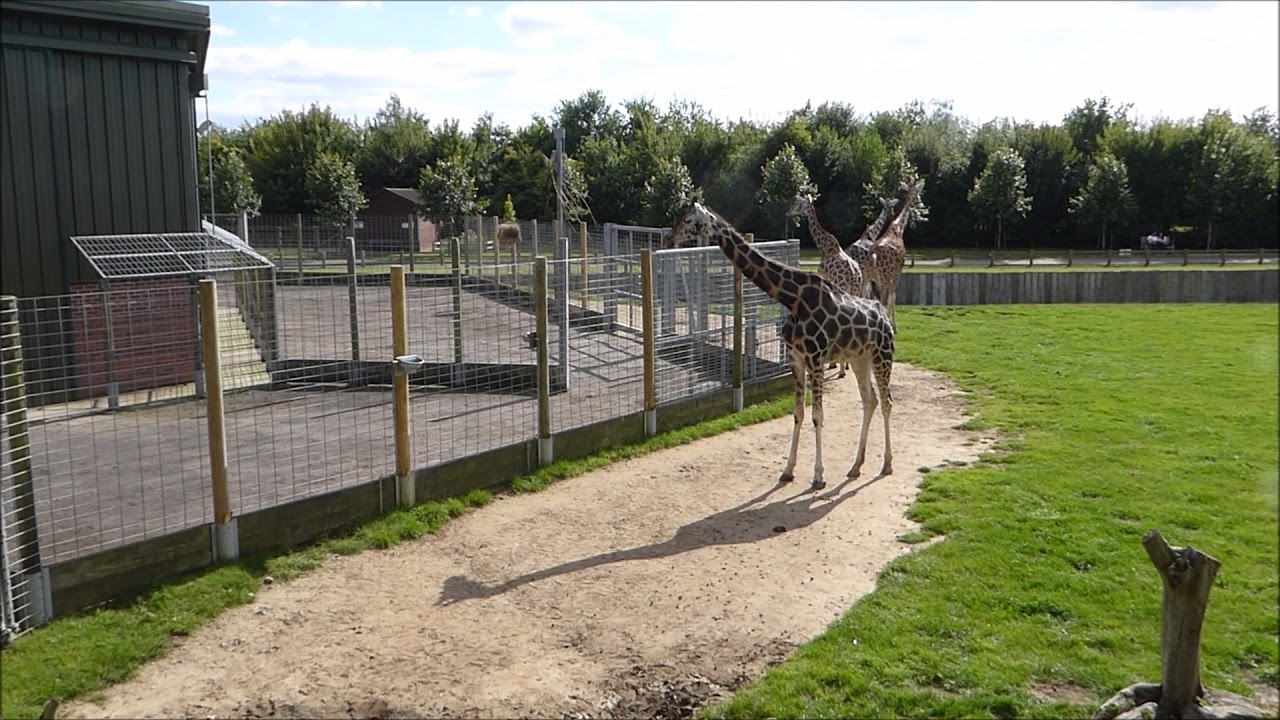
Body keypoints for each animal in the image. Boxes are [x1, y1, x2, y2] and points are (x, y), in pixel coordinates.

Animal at [787, 192, 864, 379]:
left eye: (797, 203)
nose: (788, 213)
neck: (824, 246)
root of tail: (853, 274)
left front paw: (834, 364)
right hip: (858, 290)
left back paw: (841, 369)